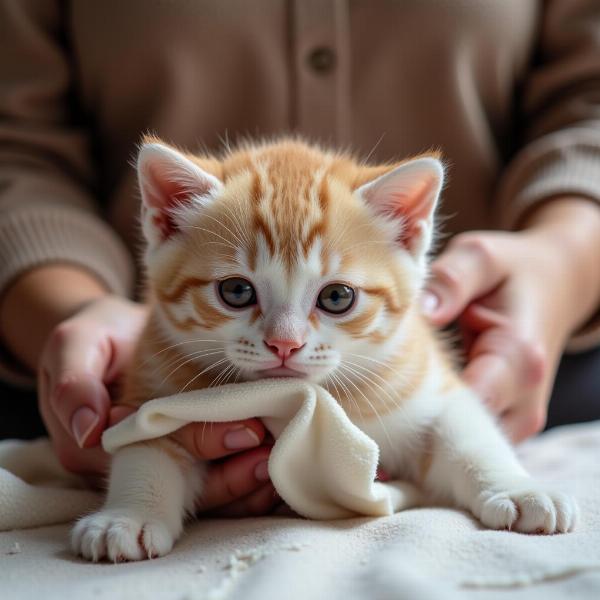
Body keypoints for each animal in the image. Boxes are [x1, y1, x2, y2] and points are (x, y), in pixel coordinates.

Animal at [72, 137, 580, 564]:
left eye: (337, 297)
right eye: (236, 291)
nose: (284, 343)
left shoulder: (427, 381)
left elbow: (471, 435)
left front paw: (520, 490)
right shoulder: (153, 389)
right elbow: (145, 445)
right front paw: (128, 516)